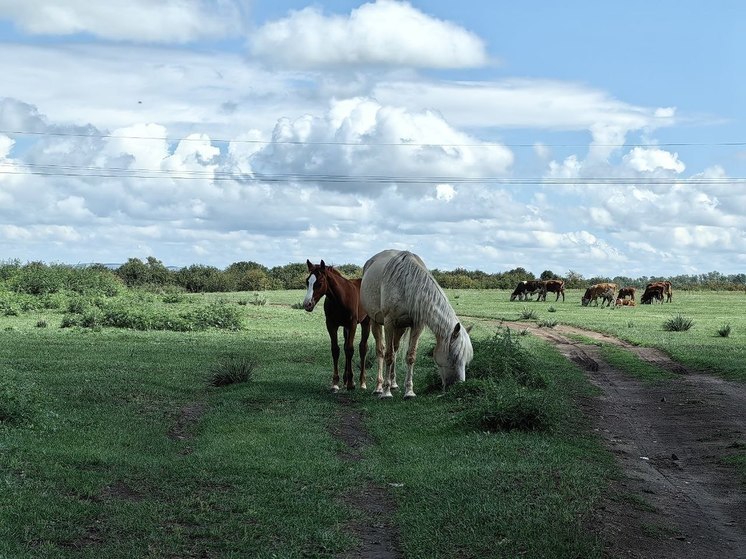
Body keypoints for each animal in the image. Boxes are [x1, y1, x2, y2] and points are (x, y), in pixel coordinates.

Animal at [302, 260, 370, 392]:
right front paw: (335, 383)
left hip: (366, 322)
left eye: (320, 283)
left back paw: (362, 382)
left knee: (362, 348)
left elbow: (350, 350)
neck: (340, 298)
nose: (307, 304)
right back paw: (347, 379)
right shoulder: (331, 324)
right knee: (345, 346)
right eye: (307, 281)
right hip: (345, 328)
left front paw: (351, 383)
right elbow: (336, 350)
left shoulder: (352, 324)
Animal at [356, 249, 470, 398]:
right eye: (454, 356)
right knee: (381, 351)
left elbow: (410, 356)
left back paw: (393, 384)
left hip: (400, 327)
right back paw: (379, 387)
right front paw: (386, 392)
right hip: (375, 322)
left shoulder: (417, 325)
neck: (406, 284)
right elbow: (388, 356)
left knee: (395, 349)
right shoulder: (388, 323)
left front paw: (409, 391)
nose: (457, 386)